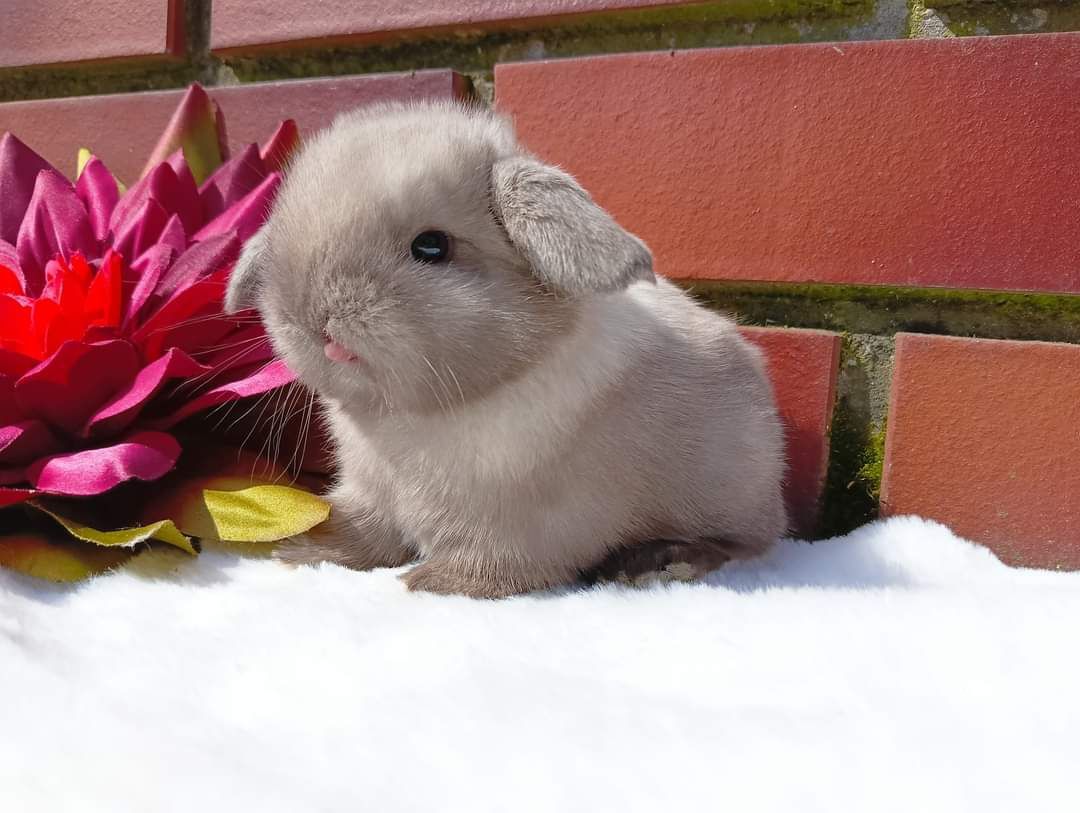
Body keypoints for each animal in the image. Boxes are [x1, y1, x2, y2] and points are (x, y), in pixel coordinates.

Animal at [225, 99, 786, 595]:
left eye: (432, 246)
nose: (314, 318)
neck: (415, 415)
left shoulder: (516, 525)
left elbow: (493, 564)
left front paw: (435, 582)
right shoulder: (368, 491)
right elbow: (361, 532)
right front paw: (305, 550)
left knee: (746, 542)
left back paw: (660, 561)